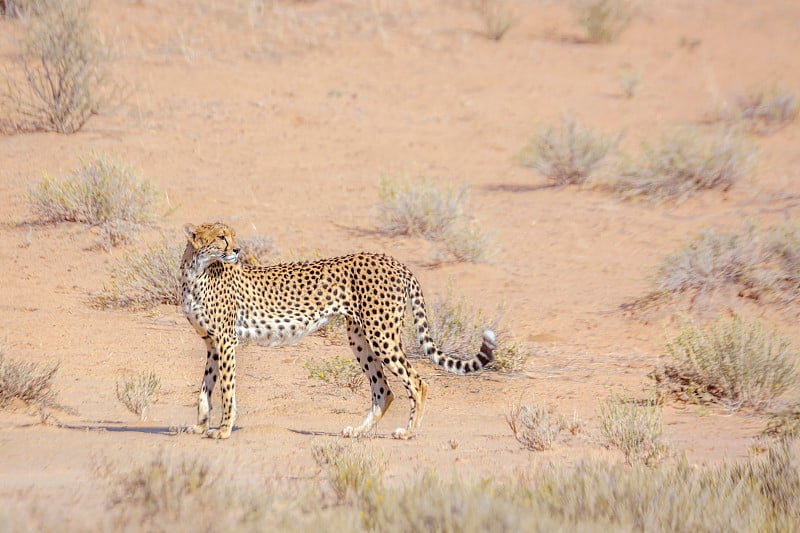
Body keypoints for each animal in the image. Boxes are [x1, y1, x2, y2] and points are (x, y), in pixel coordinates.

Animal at [182, 222, 496, 438]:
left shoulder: (226, 341)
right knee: (383, 390)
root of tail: (391, 259)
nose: (237, 250)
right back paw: (358, 432)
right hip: (360, 337)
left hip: (381, 334)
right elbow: (206, 387)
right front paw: (199, 427)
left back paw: (407, 432)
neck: (196, 272)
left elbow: (226, 388)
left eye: (231, 235)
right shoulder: (211, 342)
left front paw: (223, 430)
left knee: (417, 382)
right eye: (221, 236)